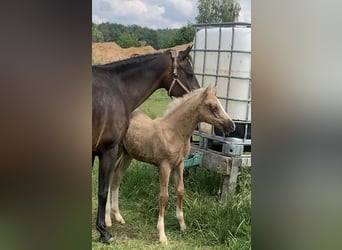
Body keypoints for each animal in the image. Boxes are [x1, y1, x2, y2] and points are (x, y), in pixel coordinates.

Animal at [92, 46, 199, 243]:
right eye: (189, 73)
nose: (198, 94)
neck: (117, 90)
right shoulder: (108, 150)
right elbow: (102, 190)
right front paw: (103, 231)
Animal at [106, 85, 235, 244]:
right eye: (213, 106)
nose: (232, 125)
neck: (174, 132)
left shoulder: (179, 165)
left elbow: (180, 190)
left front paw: (182, 225)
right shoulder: (164, 166)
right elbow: (164, 197)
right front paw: (162, 234)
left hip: (128, 155)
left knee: (117, 178)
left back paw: (118, 216)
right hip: (116, 151)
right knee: (109, 178)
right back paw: (107, 219)